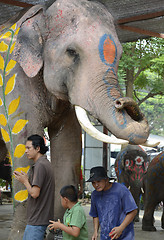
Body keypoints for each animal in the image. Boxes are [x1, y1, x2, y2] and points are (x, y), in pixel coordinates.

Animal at [0, 0, 149, 239]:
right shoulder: (12, 81)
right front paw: (20, 235)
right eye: (71, 52)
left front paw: (54, 231)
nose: (122, 102)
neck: (43, 13)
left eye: (119, 55)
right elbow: (23, 142)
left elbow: (69, 148)